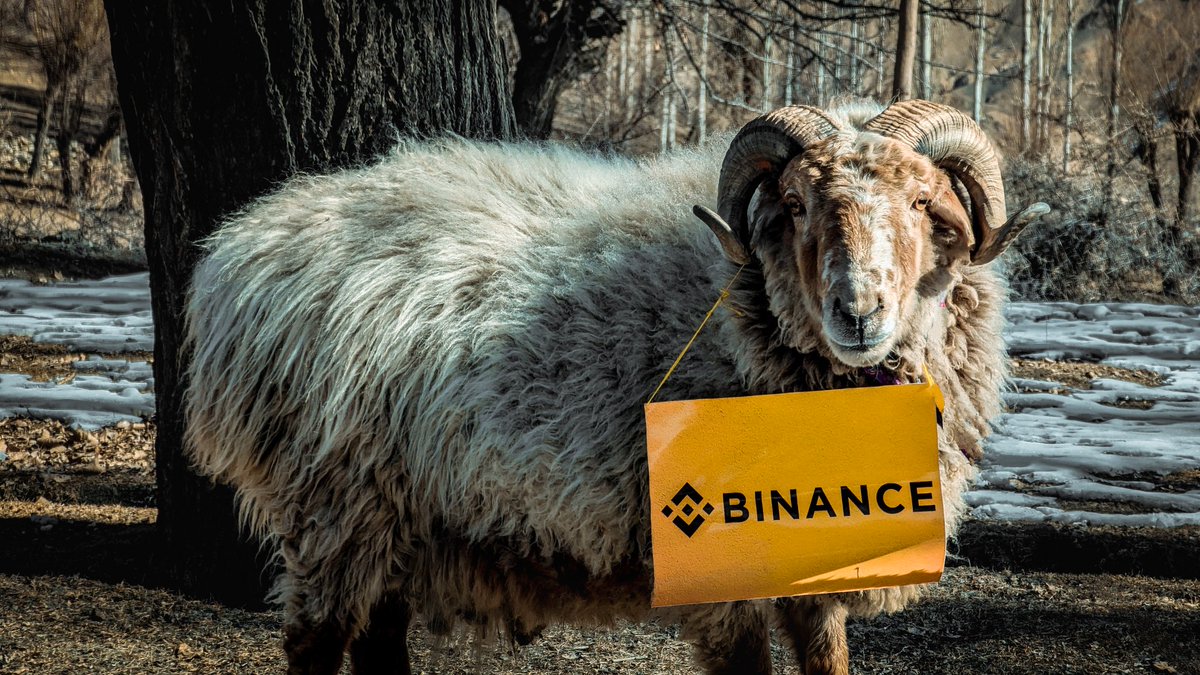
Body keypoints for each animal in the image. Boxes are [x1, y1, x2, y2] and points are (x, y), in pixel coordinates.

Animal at [184, 98, 1047, 675]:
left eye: (922, 201)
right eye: (796, 203)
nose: (858, 310)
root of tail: (244, 248)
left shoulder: (815, 571)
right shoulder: (719, 566)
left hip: (395, 515)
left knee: (378, 640)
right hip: (333, 501)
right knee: (315, 642)